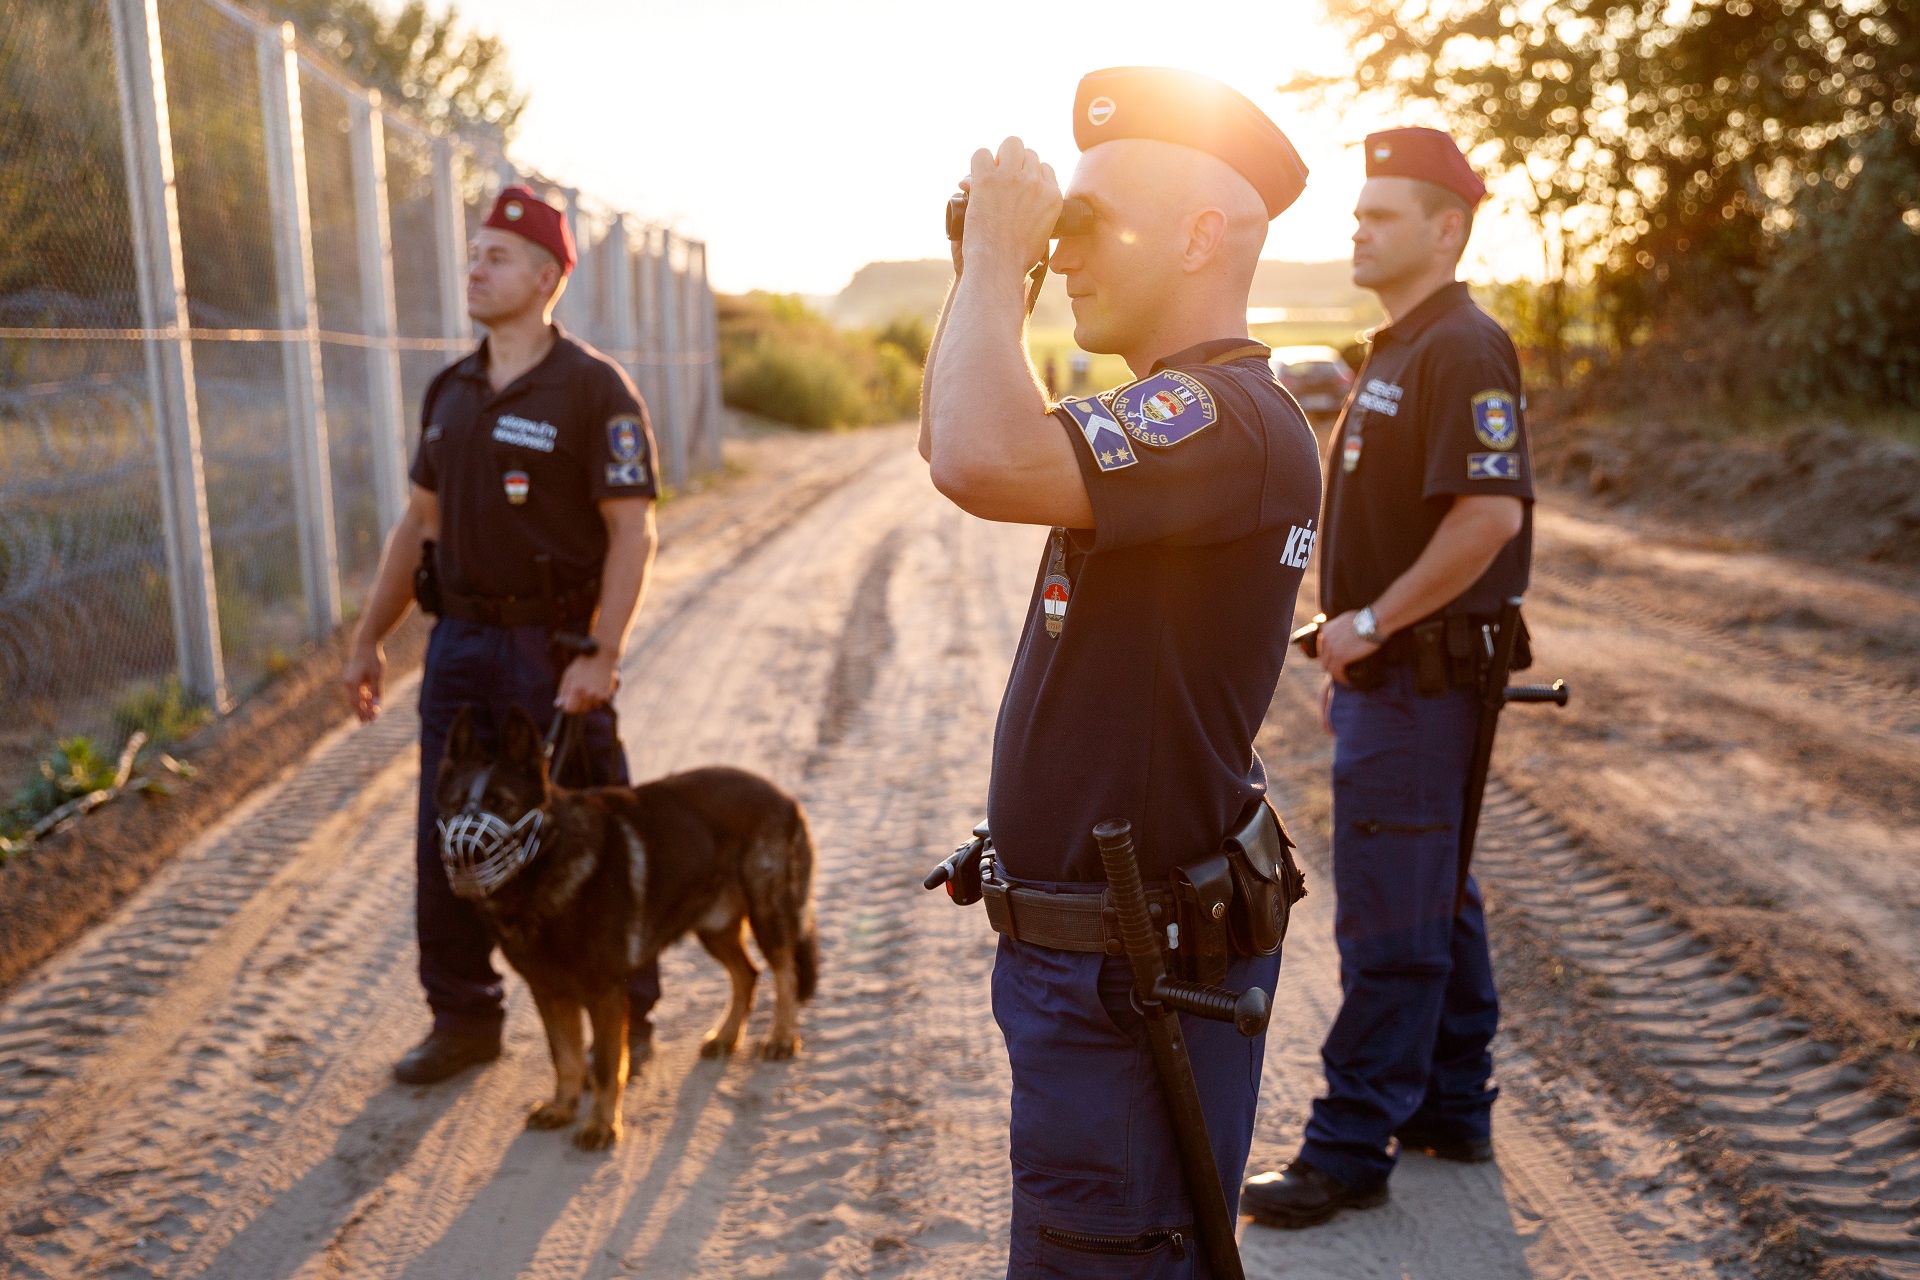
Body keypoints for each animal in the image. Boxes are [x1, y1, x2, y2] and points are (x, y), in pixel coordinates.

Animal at [435, 706, 817, 1159]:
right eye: (455, 805)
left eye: (501, 805)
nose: (463, 857)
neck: (547, 863)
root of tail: (784, 796)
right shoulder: (549, 992)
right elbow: (565, 1057)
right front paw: (563, 1108)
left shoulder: (604, 994)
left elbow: (602, 1065)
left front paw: (601, 1125)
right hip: (713, 927)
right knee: (748, 974)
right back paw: (726, 1037)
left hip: (766, 914)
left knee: (785, 971)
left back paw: (782, 1037)